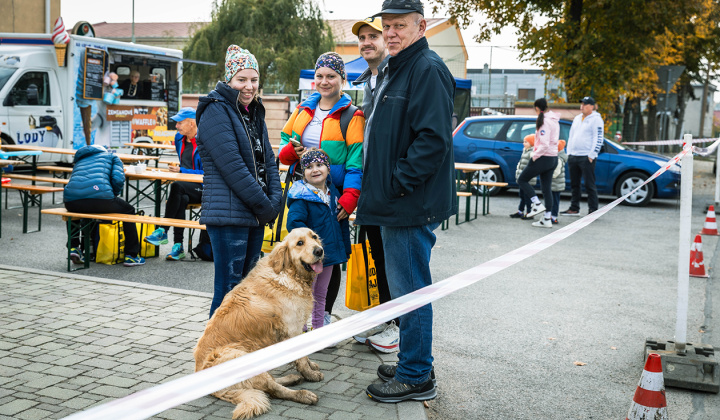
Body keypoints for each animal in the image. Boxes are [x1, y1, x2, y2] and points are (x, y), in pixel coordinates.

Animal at [193, 228, 324, 418]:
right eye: (300, 243)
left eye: (314, 237)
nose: (319, 251)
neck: (287, 273)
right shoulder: (292, 329)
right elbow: (301, 358)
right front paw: (310, 374)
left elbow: (304, 357)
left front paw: (310, 366)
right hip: (241, 357)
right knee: (273, 390)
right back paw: (303, 394)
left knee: (269, 383)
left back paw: (292, 378)